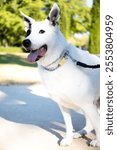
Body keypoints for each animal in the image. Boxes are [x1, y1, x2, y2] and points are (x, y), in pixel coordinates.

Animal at [21, 2, 99, 147]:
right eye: (28, 32)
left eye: (42, 31)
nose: (25, 42)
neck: (58, 63)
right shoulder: (64, 105)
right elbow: (68, 125)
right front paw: (68, 139)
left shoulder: (88, 105)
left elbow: (99, 127)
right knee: (90, 123)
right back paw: (81, 132)